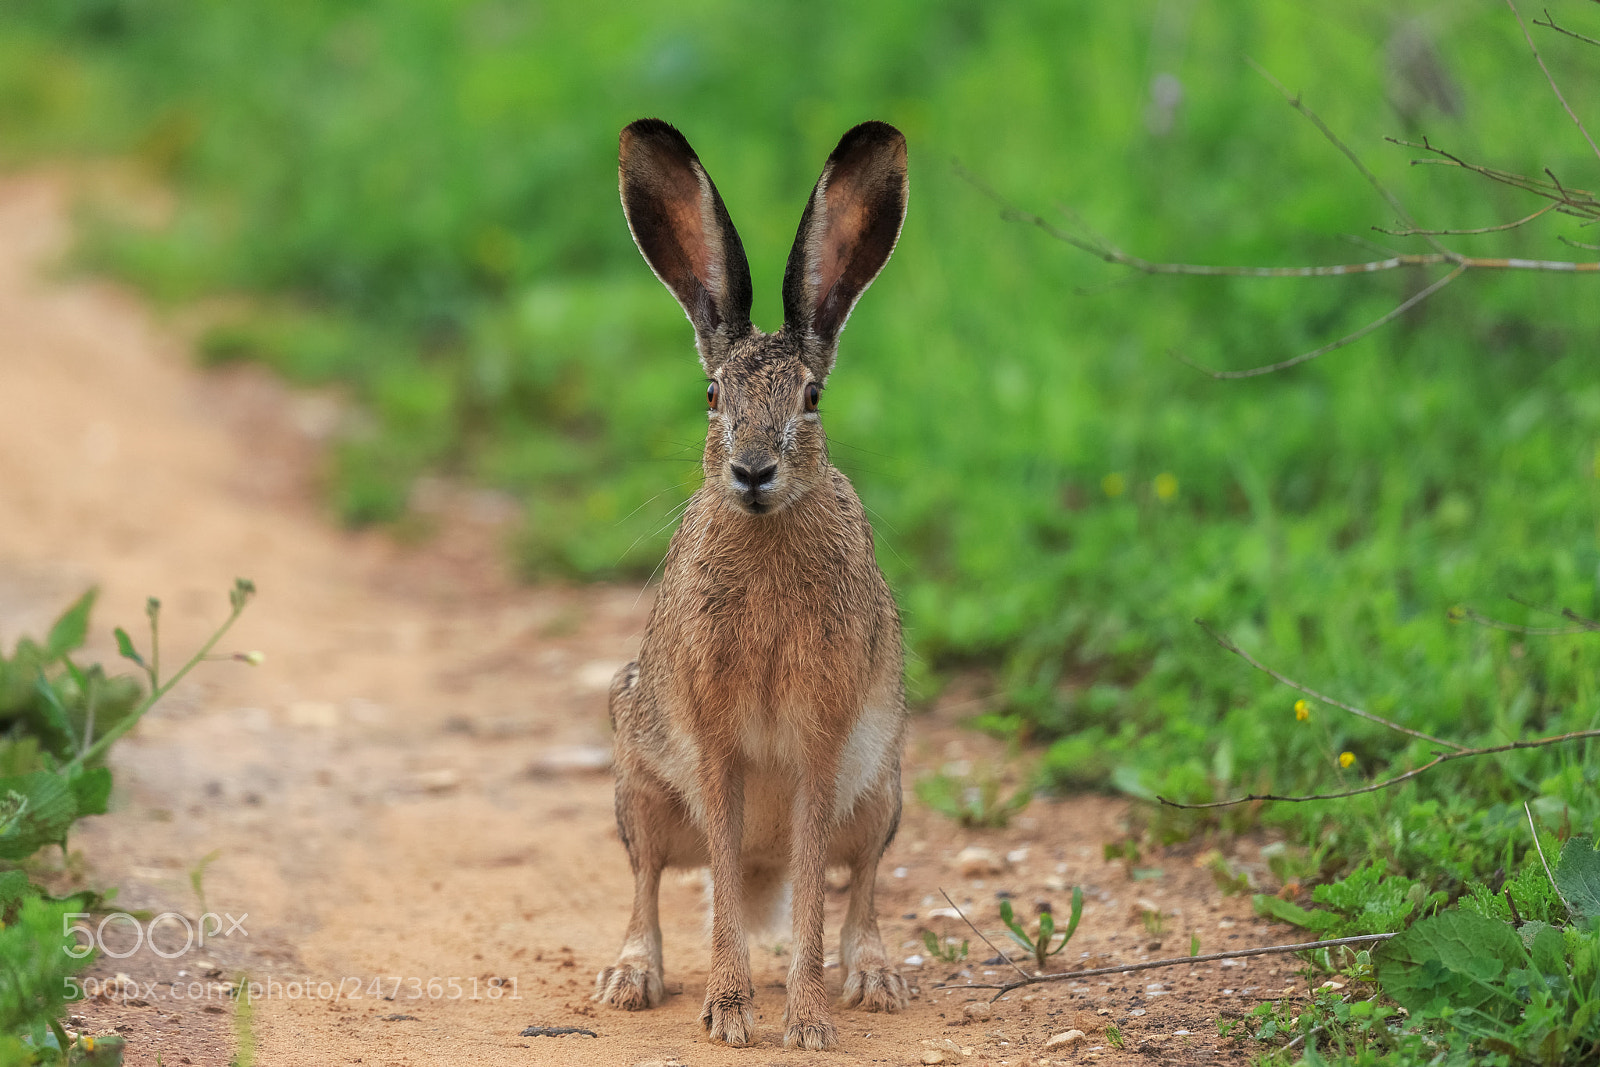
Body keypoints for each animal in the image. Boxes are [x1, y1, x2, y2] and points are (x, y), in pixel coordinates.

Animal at [593, 118, 911, 1052]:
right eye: (710, 394)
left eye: (812, 397)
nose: (753, 470)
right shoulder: (712, 741)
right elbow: (723, 884)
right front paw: (732, 1013)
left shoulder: (823, 742)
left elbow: (812, 899)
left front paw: (804, 1023)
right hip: (638, 786)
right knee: (650, 880)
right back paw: (630, 978)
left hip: (882, 790)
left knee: (860, 884)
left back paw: (874, 979)